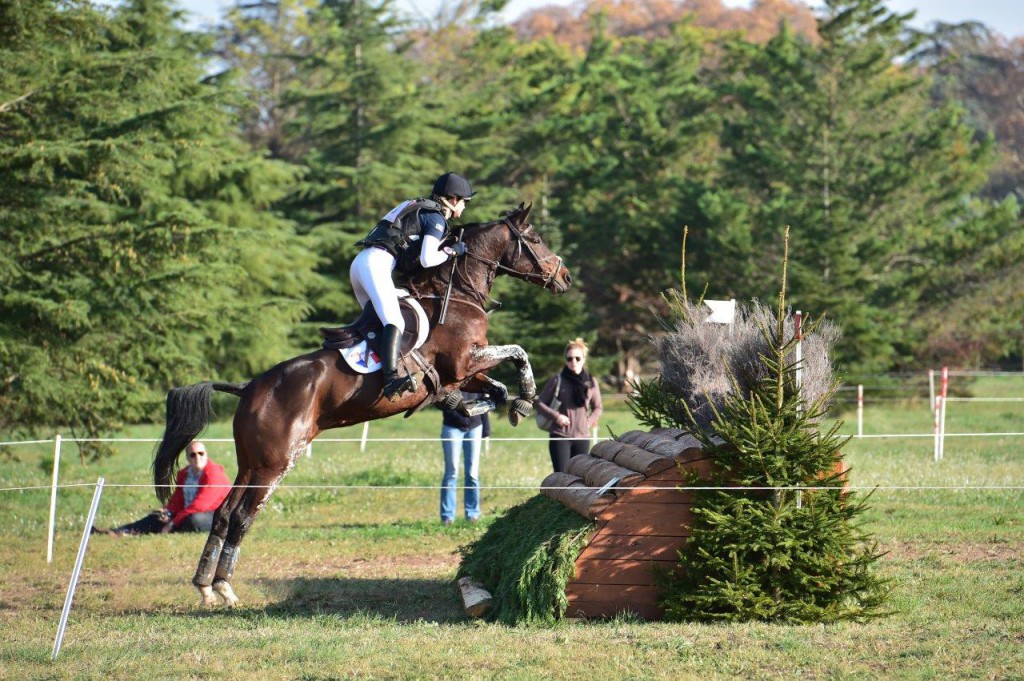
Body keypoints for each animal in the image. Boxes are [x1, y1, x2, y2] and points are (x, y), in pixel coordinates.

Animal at [151, 201, 573, 606]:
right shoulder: (465, 360)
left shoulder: (465, 372)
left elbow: (494, 387)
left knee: (223, 514)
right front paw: (522, 398)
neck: (456, 295)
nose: (565, 278)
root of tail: (250, 387)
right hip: (275, 463)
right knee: (241, 517)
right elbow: (518, 353)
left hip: (250, 463)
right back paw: (224, 586)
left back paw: (207, 586)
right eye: (536, 239)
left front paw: (495, 406)